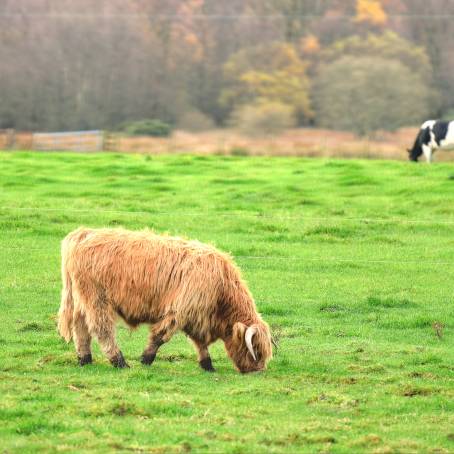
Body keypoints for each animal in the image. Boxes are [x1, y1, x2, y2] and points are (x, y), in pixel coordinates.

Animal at [59, 227, 274, 372]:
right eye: (255, 349)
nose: (258, 370)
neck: (222, 288)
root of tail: (84, 233)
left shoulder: (196, 315)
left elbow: (199, 343)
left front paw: (207, 364)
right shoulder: (180, 311)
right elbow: (160, 336)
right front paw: (146, 359)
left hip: (82, 299)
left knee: (81, 328)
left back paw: (85, 359)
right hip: (97, 299)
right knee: (101, 329)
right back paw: (119, 361)